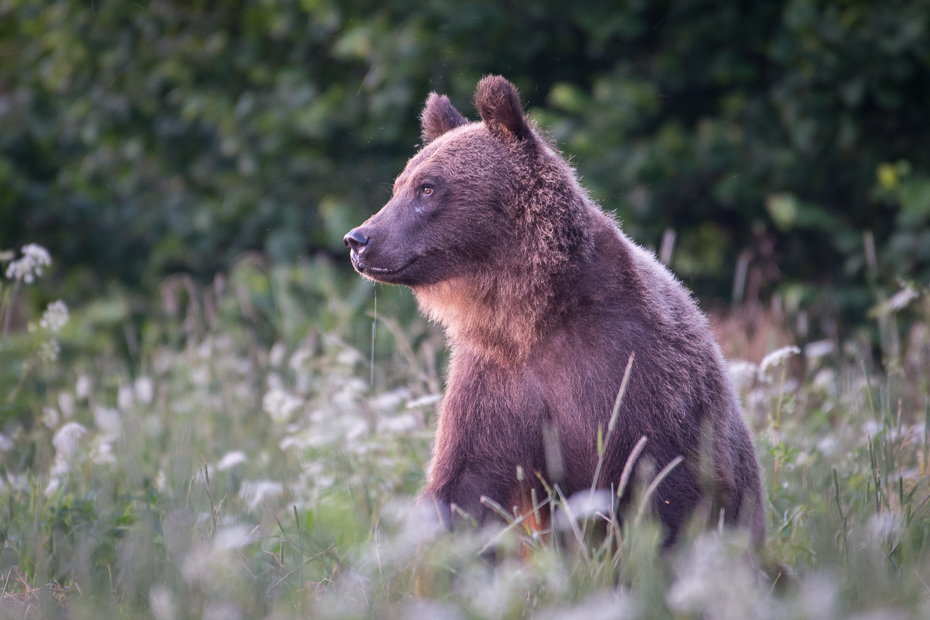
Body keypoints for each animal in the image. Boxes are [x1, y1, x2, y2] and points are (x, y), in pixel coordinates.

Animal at [344, 75, 764, 544]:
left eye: (428, 187)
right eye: (399, 185)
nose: (358, 239)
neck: (536, 314)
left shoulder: (641, 377)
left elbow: (667, 493)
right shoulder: (496, 386)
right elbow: (464, 486)